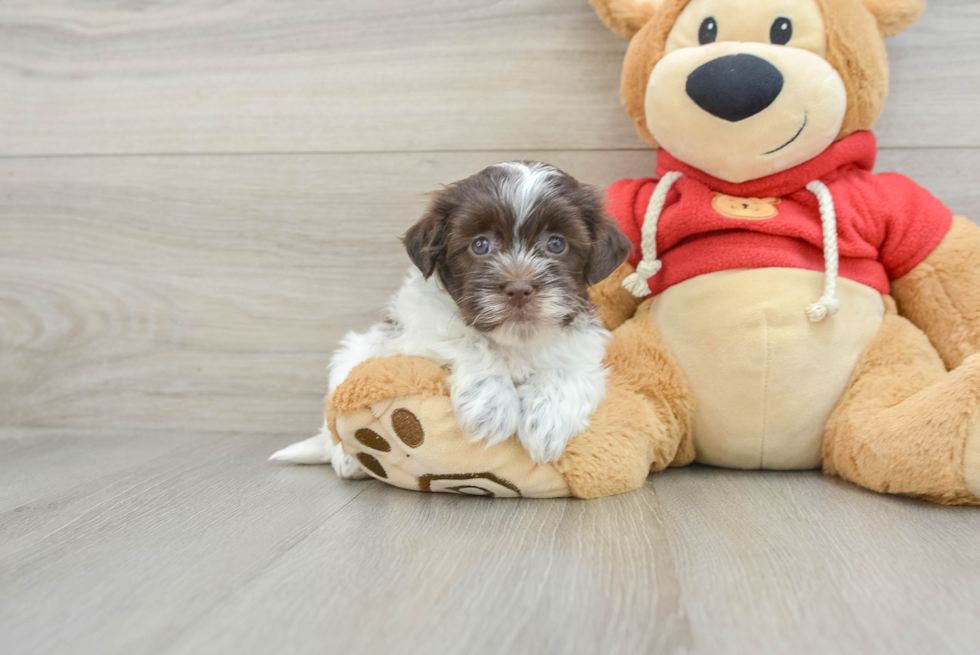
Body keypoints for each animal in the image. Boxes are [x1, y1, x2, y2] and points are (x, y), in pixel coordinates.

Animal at [272, 163, 632, 472]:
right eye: (480, 245)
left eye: (556, 244)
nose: (519, 289)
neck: (515, 341)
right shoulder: (417, 335)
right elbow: (468, 342)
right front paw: (491, 405)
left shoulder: (584, 349)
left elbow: (566, 371)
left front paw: (547, 421)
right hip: (353, 354)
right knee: (332, 425)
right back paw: (347, 460)